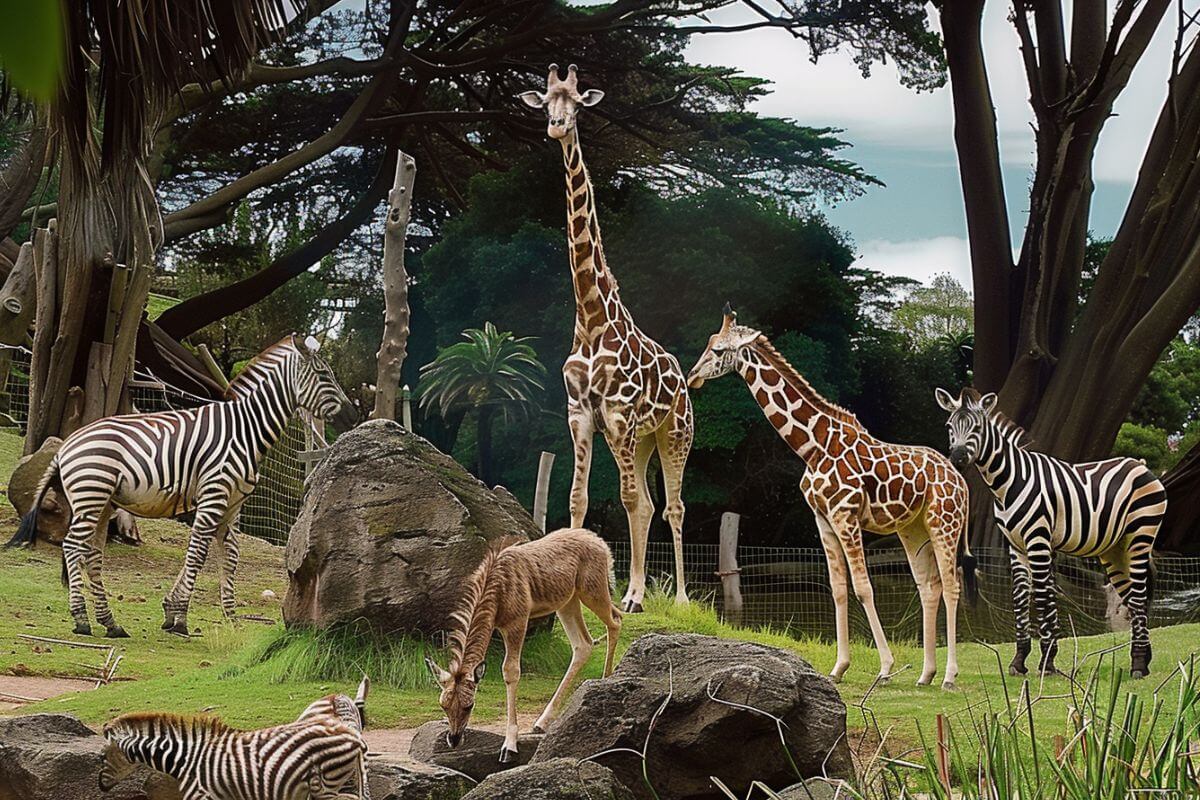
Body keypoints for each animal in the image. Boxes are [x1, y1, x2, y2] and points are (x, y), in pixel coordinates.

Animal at [6, 334, 357, 638]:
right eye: (324, 374)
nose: (352, 414)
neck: (246, 429)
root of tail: (67, 444)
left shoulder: (232, 504)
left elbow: (229, 555)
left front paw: (228, 619)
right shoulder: (214, 494)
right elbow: (198, 553)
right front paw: (180, 617)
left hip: (104, 503)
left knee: (91, 553)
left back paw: (110, 623)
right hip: (91, 495)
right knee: (72, 545)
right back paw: (81, 620)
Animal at [99, 679, 371, 799]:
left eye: (102, 756)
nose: (100, 786)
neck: (186, 759)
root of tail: (352, 735)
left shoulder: (202, 795)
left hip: (325, 786)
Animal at [520, 64, 691, 612]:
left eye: (577, 103)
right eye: (545, 100)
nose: (556, 126)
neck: (592, 317)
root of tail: (683, 378)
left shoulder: (618, 414)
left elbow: (629, 500)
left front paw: (632, 596)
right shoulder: (580, 413)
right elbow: (579, 498)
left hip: (673, 433)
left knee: (672, 505)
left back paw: (678, 597)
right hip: (642, 439)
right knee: (653, 503)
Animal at [687, 305, 970, 688]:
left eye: (718, 350)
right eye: (708, 343)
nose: (692, 376)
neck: (812, 447)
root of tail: (961, 480)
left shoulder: (845, 515)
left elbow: (863, 587)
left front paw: (885, 667)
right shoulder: (822, 518)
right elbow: (837, 588)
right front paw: (839, 667)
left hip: (945, 522)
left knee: (953, 585)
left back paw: (950, 675)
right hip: (913, 529)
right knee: (929, 586)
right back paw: (926, 674)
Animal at [936, 387, 1167, 678]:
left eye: (977, 427)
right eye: (949, 426)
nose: (957, 459)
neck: (1008, 483)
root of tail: (1140, 465)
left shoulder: (1038, 541)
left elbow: (1044, 597)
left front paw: (1047, 661)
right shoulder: (1016, 546)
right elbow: (1020, 599)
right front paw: (1020, 660)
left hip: (1140, 535)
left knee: (1137, 593)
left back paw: (1137, 664)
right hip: (1115, 549)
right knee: (1134, 600)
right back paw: (1143, 660)